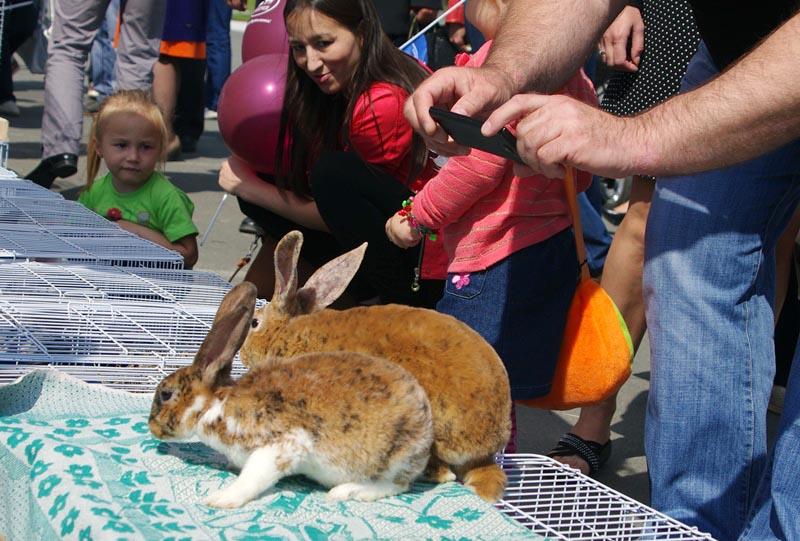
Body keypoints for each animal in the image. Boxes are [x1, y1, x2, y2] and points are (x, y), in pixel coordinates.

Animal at [147, 280, 432, 508]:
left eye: (166, 394)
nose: (152, 428)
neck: (215, 404)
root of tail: (426, 433)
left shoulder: (282, 445)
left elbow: (251, 479)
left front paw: (221, 500)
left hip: (391, 459)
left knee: (396, 485)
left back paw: (346, 491)